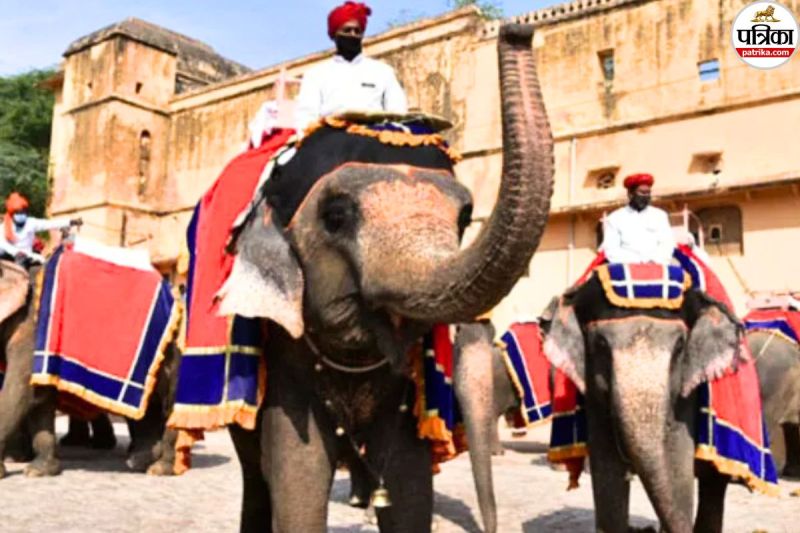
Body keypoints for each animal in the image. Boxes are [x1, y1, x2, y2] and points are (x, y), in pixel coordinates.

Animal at [218, 23, 554, 533]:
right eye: (336, 217)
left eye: (465, 217)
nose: (517, 30)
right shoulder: (280, 343)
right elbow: (297, 475)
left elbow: (409, 483)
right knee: (255, 475)